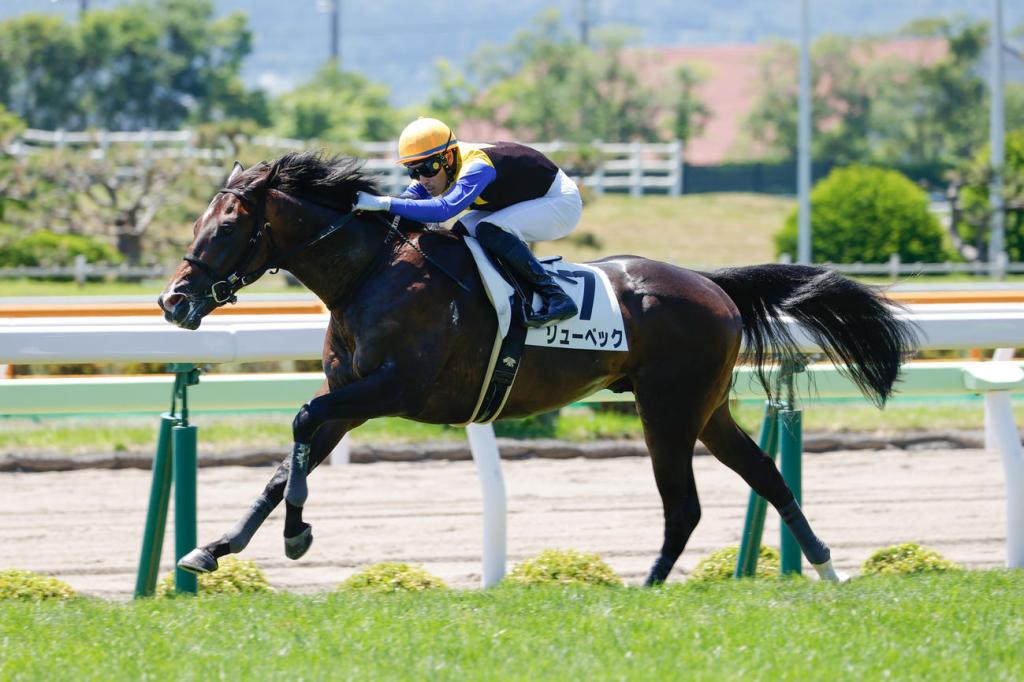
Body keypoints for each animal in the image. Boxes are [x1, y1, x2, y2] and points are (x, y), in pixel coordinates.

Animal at [157, 152, 916, 585]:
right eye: (197, 225)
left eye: (226, 228)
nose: (173, 301)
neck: (369, 274)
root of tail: (711, 284)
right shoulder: (351, 391)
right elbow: (288, 461)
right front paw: (213, 549)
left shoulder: (390, 388)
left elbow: (300, 419)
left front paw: (296, 535)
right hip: (706, 408)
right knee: (765, 473)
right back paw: (825, 565)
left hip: (667, 410)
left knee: (685, 506)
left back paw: (647, 588)